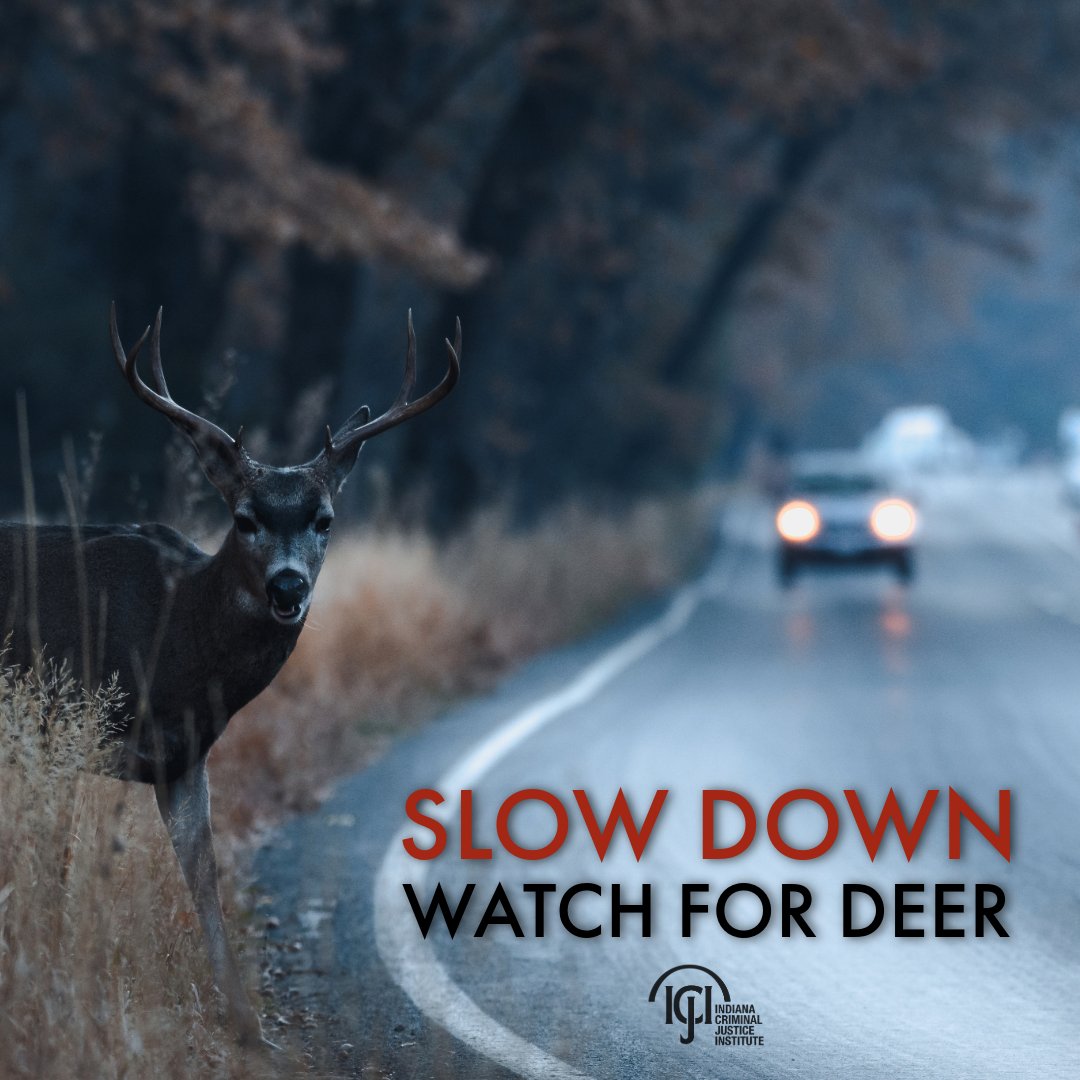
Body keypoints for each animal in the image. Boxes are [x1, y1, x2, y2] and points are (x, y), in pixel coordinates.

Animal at [0, 304, 460, 1047]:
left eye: (324, 519)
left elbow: (204, 871)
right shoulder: (64, 720)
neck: (175, 642)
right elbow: (60, 858)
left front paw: (245, 1023)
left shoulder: (184, 757)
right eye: (245, 518)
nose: (287, 586)